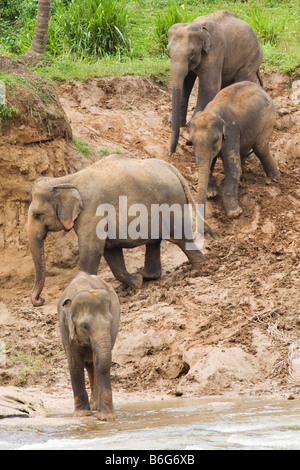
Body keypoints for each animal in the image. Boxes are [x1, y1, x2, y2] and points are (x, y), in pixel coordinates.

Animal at [27, 155, 213, 308]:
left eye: (37, 215)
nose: (40, 300)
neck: (65, 180)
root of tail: (172, 168)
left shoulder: (92, 211)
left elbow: (92, 250)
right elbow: (110, 250)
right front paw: (136, 282)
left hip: (171, 204)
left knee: (179, 238)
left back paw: (201, 269)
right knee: (155, 241)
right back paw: (148, 276)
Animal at [58, 270, 120, 420]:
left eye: (110, 322)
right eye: (85, 326)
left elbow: (98, 361)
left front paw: (107, 418)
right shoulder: (64, 327)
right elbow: (75, 362)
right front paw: (82, 414)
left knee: (92, 364)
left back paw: (96, 406)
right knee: (89, 365)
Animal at [166, 9, 262, 153]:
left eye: (192, 53)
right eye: (167, 53)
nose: (172, 152)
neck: (198, 26)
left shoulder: (215, 51)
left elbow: (209, 87)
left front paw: (193, 130)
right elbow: (185, 82)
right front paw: (174, 122)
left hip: (252, 59)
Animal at [189, 81, 280, 218]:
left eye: (216, 140)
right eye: (192, 142)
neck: (212, 110)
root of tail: (262, 89)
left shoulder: (231, 133)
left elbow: (233, 168)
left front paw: (234, 213)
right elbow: (206, 163)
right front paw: (211, 194)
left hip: (269, 119)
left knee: (260, 148)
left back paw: (275, 178)